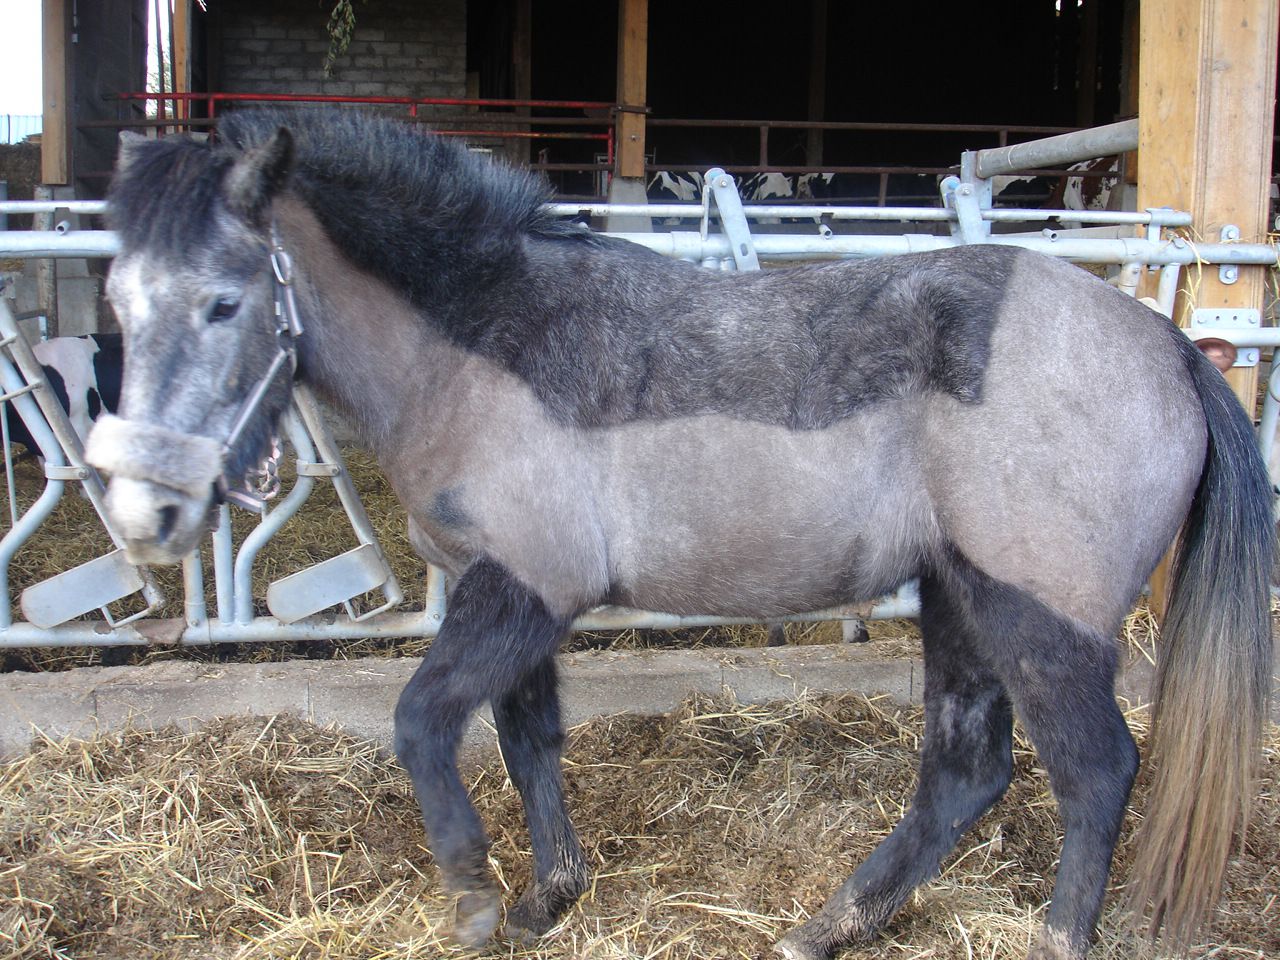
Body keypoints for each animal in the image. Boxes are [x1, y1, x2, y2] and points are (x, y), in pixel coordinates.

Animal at [84, 108, 1273, 960]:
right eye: (119, 302)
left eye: (224, 302)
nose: (146, 512)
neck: (484, 341)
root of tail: (1167, 347)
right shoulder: (511, 599)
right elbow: (526, 741)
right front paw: (547, 902)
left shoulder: (519, 592)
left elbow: (422, 725)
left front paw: (474, 900)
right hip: (958, 596)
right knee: (962, 774)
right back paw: (826, 928)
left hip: (1036, 616)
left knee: (1095, 772)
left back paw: (1046, 938)